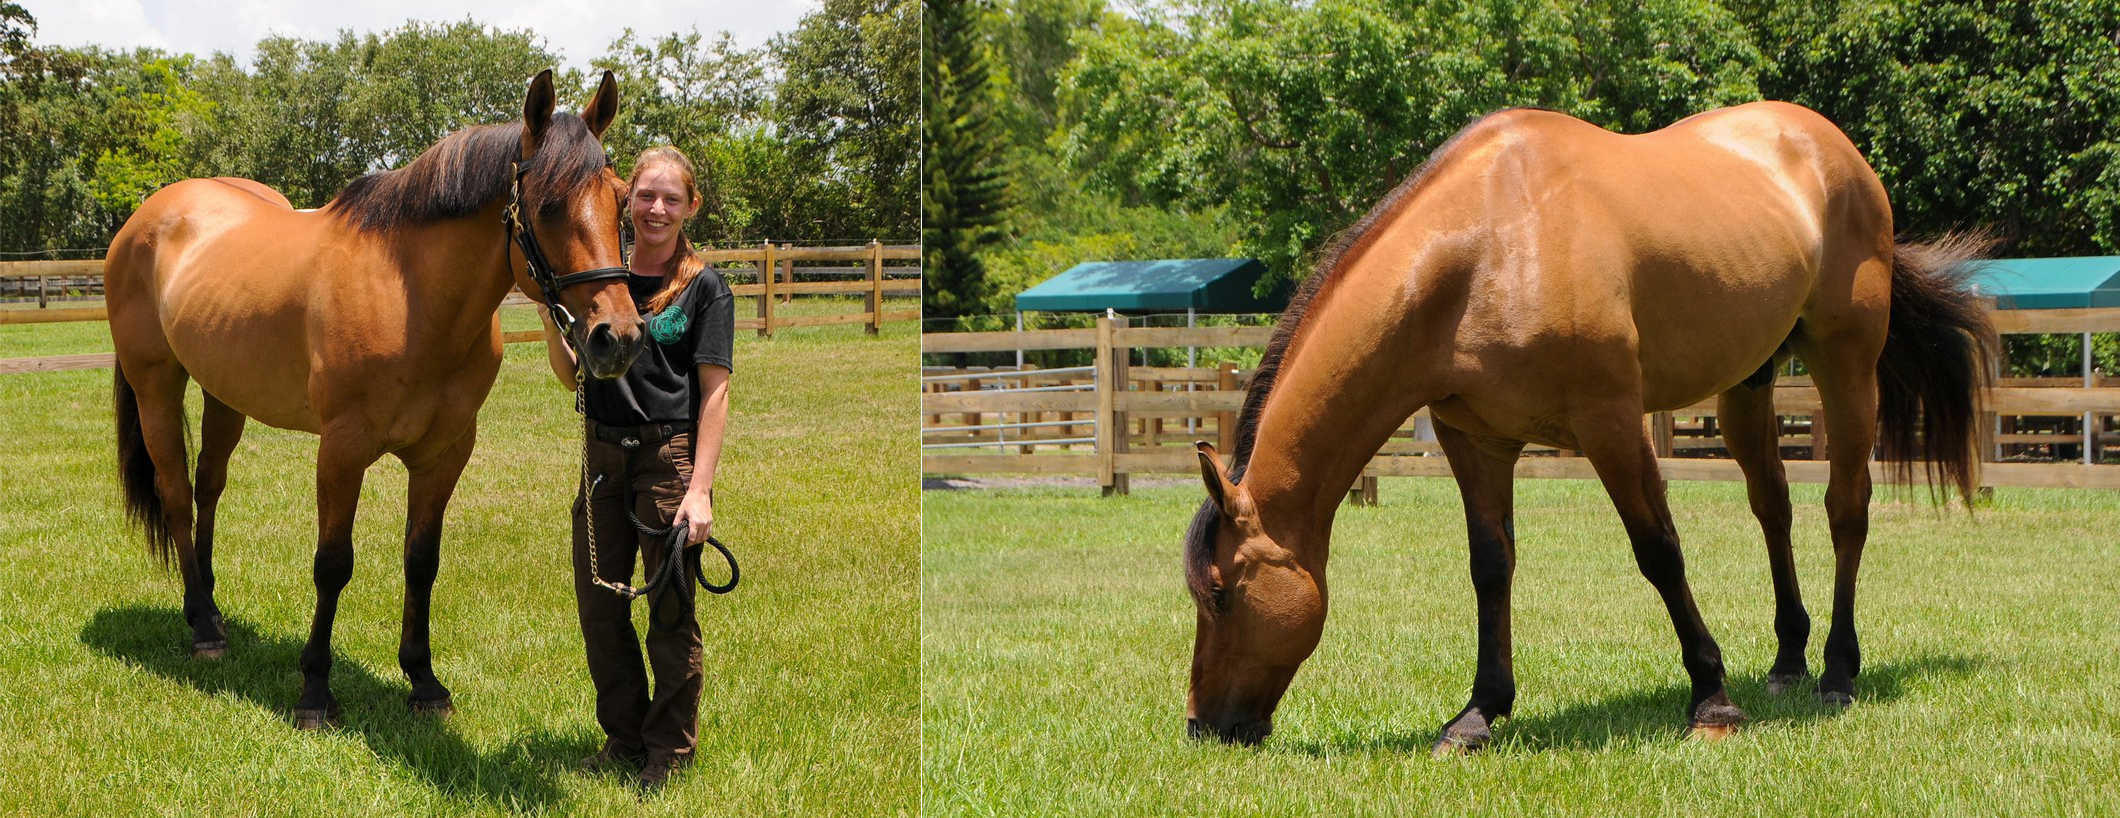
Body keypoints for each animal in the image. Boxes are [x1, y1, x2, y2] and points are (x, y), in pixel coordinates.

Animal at [111, 67, 640, 724]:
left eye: (622, 200)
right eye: (547, 207)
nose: (617, 338)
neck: (410, 296)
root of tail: (148, 216)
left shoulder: (445, 454)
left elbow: (422, 560)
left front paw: (423, 680)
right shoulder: (342, 449)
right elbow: (332, 563)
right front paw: (315, 690)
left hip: (223, 392)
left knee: (208, 485)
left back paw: (208, 604)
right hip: (155, 383)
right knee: (177, 494)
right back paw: (203, 629)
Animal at [1187, 103, 1992, 754]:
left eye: (1220, 593)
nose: (1202, 727)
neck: (1483, 250)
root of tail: (1836, 149)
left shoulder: (1611, 421)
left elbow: (1659, 551)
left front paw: (1712, 702)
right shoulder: (1474, 440)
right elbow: (1491, 567)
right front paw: (1478, 714)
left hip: (1846, 363)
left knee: (1845, 509)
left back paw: (1836, 670)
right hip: (1747, 380)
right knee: (1774, 507)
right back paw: (1788, 661)